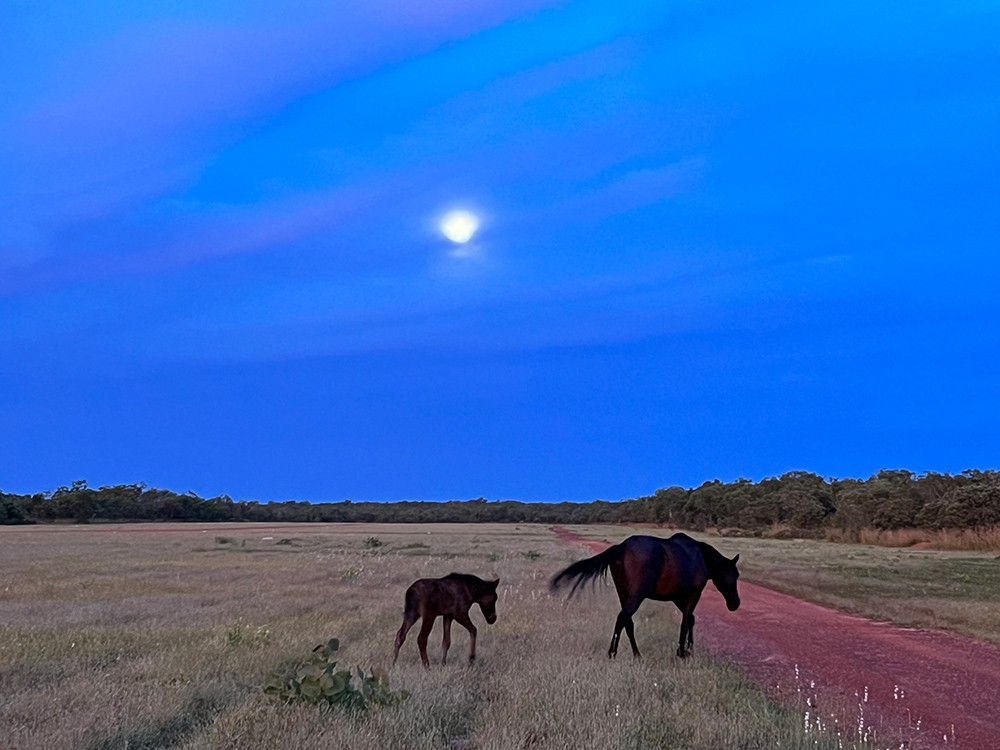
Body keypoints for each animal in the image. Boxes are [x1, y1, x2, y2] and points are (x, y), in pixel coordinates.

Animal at [552, 536, 740, 656]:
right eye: (735, 575)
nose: (735, 604)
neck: (701, 556)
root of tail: (621, 548)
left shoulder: (677, 596)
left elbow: (690, 620)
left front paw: (688, 649)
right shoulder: (693, 594)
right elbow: (686, 621)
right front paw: (682, 651)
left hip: (624, 594)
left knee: (627, 622)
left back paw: (637, 654)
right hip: (636, 596)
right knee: (622, 619)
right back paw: (612, 653)